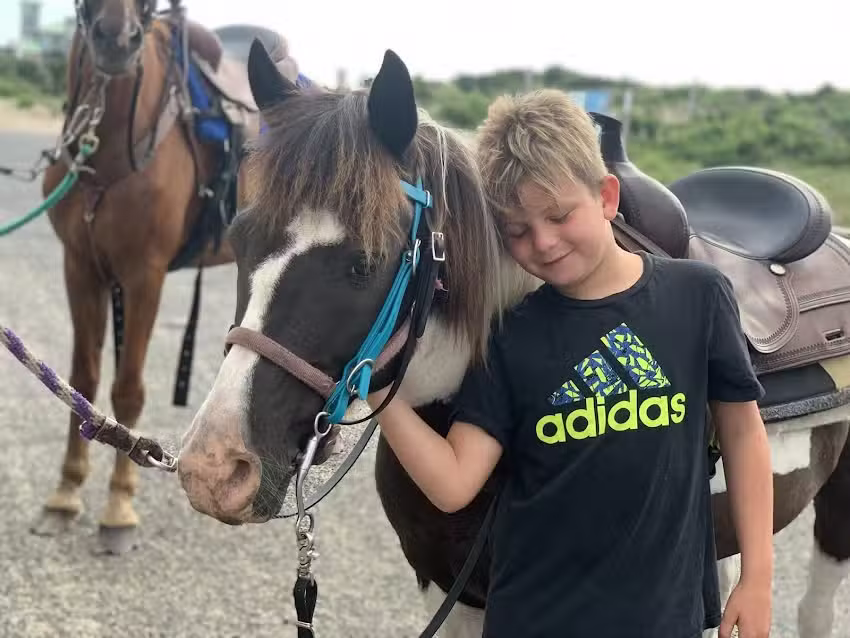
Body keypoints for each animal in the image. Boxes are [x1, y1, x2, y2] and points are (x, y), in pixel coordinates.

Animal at [33, 0, 300, 555]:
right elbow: (82, 380)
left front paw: (117, 509)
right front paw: (66, 494)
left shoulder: (144, 276)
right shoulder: (80, 267)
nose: (116, 39)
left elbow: (128, 390)